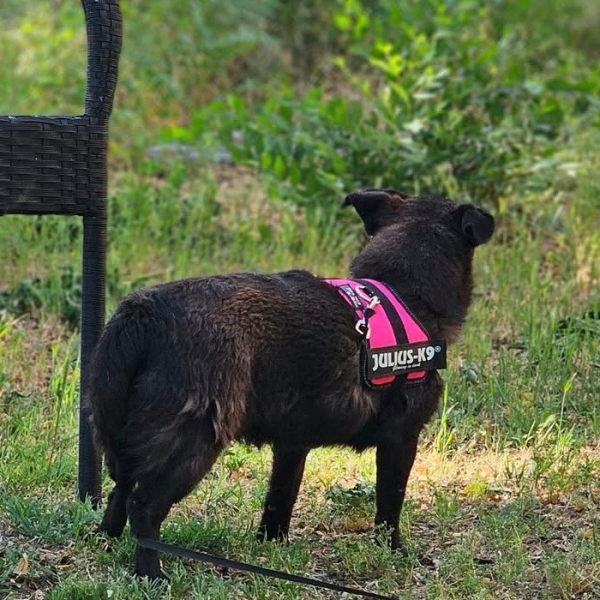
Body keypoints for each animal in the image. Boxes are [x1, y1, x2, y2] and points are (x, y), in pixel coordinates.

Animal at [86, 189, 494, 579]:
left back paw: (106, 540)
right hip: (193, 442)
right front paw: (394, 552)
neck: (406, 290)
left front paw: (271, 547)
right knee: (143, 507)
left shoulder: (292, 445)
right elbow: (389, 504)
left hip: (131, 438)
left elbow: (279, 499)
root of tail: (143, 315)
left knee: (121, 490)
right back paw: (151, 573)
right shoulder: (401, 437)